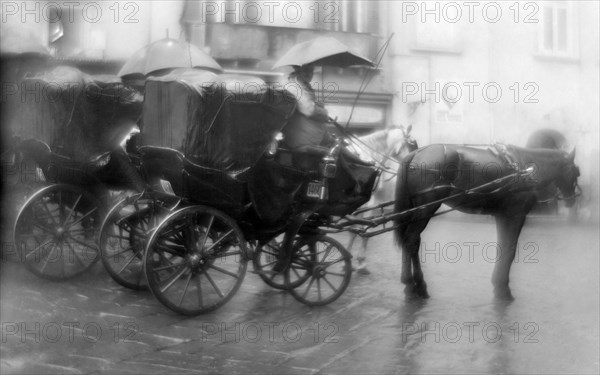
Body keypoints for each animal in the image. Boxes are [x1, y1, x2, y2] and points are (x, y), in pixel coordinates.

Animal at [344, 125, 420, 274]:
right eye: (412, 144)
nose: (415, 166)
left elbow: (354, 230)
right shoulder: (368, 203)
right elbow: (363, 230)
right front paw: (361, 262)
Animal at [394, 142, 580, 302]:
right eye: (576, 172)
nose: (572, 199)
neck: (525, 168)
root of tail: (417, 152)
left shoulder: (503, 215)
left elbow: (503, 248)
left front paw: (498, 285)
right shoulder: (516, 215)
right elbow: (510, 250)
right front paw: (504, 289)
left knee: (412, 240)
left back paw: (414, 285)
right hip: (426, 208)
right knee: (411, 240)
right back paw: (414, 284)